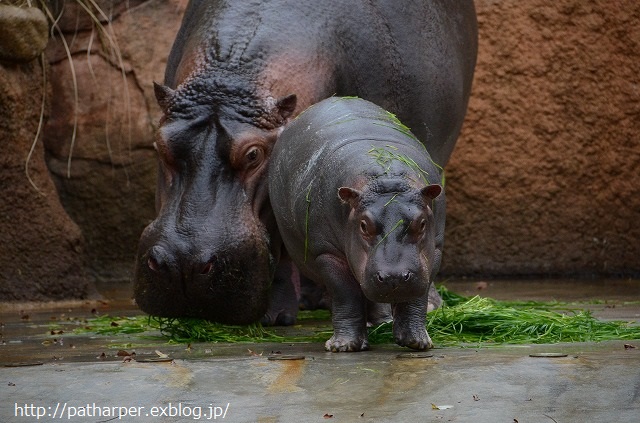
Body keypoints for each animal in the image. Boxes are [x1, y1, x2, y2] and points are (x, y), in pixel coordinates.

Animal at [268, 97, 444, 352]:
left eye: (421, 223)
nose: (394, 277)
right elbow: (346, 294)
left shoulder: (435, 250)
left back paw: (382, 322)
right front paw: (342, 346)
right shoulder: (328, 254)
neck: (385, 178)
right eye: (363, 225)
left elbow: (416, 297)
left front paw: (418, 342)